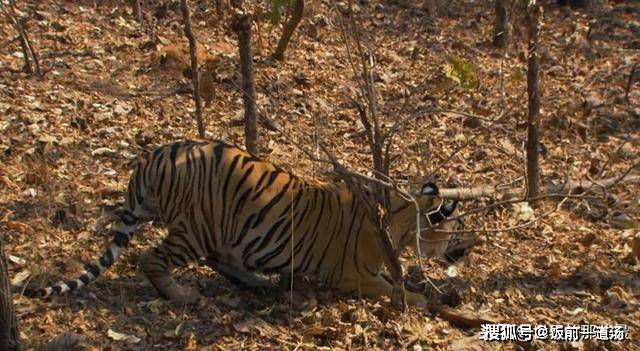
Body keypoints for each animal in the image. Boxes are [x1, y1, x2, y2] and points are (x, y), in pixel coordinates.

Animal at [26, 140, 464, 308]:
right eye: (446, 225)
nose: (458, 248)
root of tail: (154, 156)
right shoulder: (349, 275)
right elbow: (393, 287)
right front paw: (420, 300)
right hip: (199, 228)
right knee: (151, 259)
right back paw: (182, 294)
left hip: (225, 233)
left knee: (223, 263)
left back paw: (265, 283)